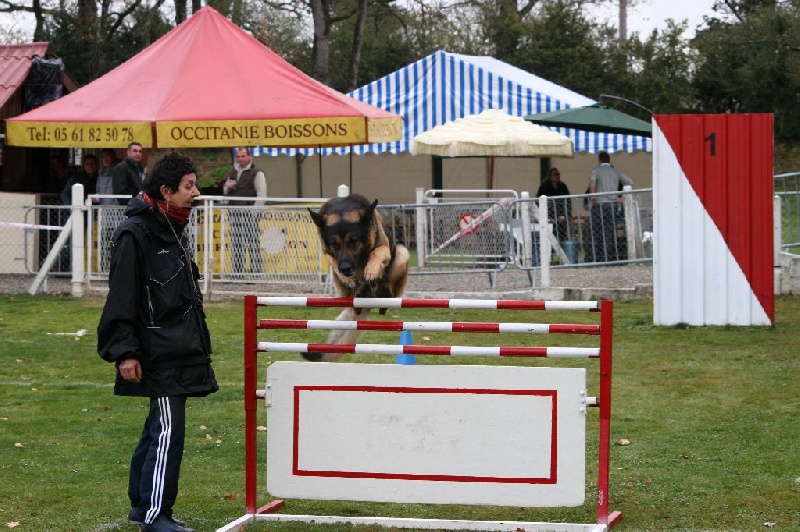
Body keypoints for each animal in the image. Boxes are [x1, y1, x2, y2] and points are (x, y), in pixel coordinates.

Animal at [304, 194, 410, 362]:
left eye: (353, 242)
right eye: (335, 245)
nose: (346, 269)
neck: (343, 208)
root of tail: (370, 301)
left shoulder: (384, 247)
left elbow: (376, 253)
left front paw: (371, 271)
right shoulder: (327, 252)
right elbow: (333, 261)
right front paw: (348, 278)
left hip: (402, 253)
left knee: (388, 299)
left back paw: (382, 290)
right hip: (343, 289)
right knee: (354, 298)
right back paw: (359, 291)